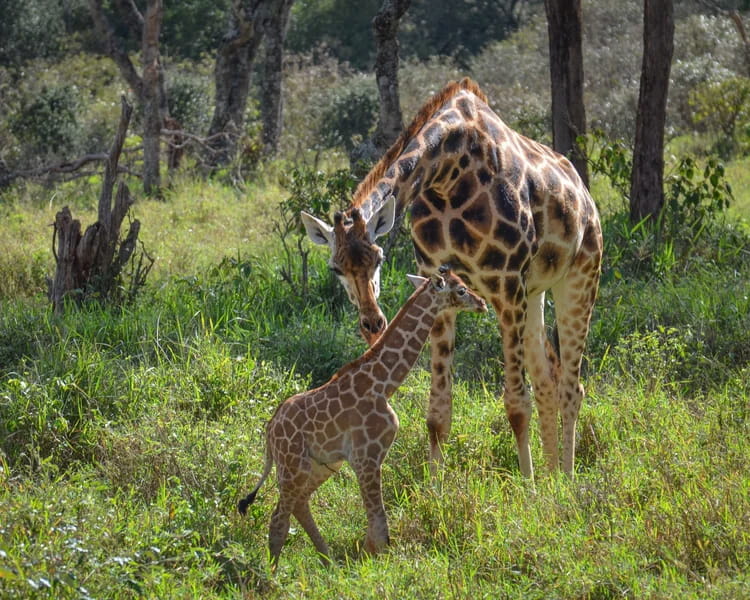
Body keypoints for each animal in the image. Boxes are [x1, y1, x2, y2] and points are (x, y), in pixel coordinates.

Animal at [238, 266, 487, 568]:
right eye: (461, 289)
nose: (482, 303)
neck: (383, 383)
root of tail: (269, 431)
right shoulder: (366, 457)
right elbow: (379, 526)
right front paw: (378, 569)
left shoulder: (360, 459)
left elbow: (376, 526)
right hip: (292, 466)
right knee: (278, 520)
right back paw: (274, 574)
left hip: (320, 465)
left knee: (299, 504)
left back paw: (330, 563)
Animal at [301, 78, 603, 480]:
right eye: (336, 268)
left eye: (379, 258)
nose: (372, 323)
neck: (448, 172)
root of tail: (584, 194)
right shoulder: (438, 284)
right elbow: (438, 413)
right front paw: (434, 486)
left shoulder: (506, 281)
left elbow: (515, 405)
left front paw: (528, 487)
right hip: (535, 290)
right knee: (548, 382)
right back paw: (553, 474)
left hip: (581, 274)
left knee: (571, 386)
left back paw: (566, 479)